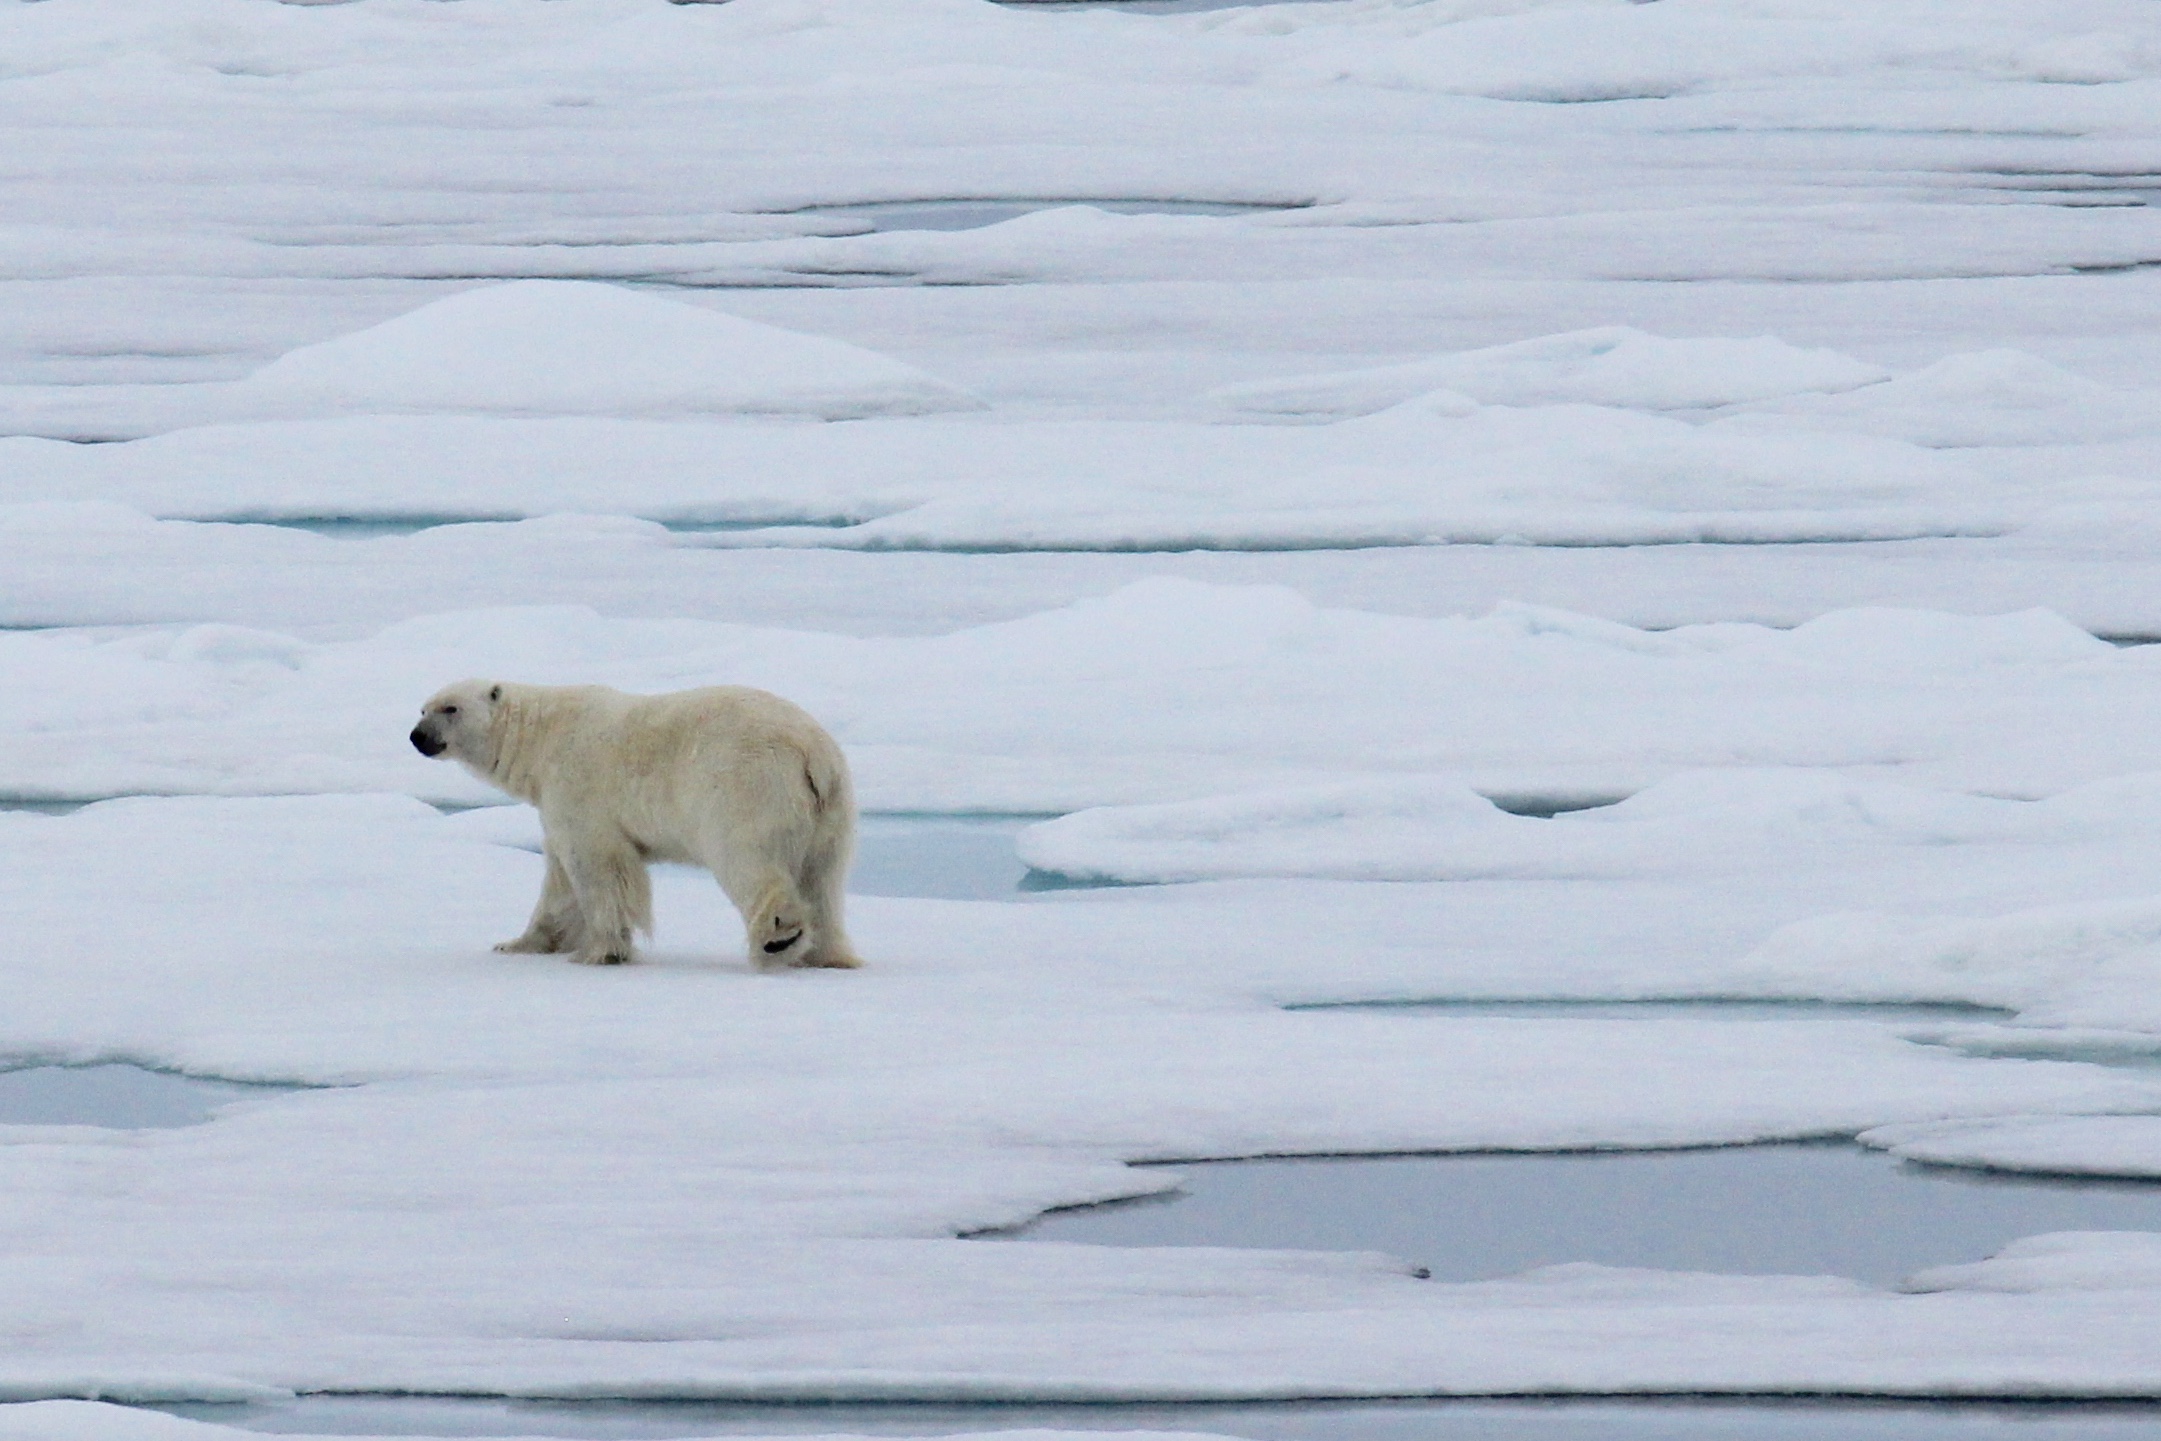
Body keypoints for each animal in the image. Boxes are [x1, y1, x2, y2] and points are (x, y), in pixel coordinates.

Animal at [412, 687, 860, 976]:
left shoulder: (580, 788)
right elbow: (559, 881)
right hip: (832, 813)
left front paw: (599, 952)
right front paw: (518, 943)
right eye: (422, 709)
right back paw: (827, 955)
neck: (542, 737)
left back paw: (777, 939)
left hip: (748, 789)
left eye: (450, 708)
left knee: (749, 860)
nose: (418, 737)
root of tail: (812, 753)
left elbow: (598, 868)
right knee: (822, 879)